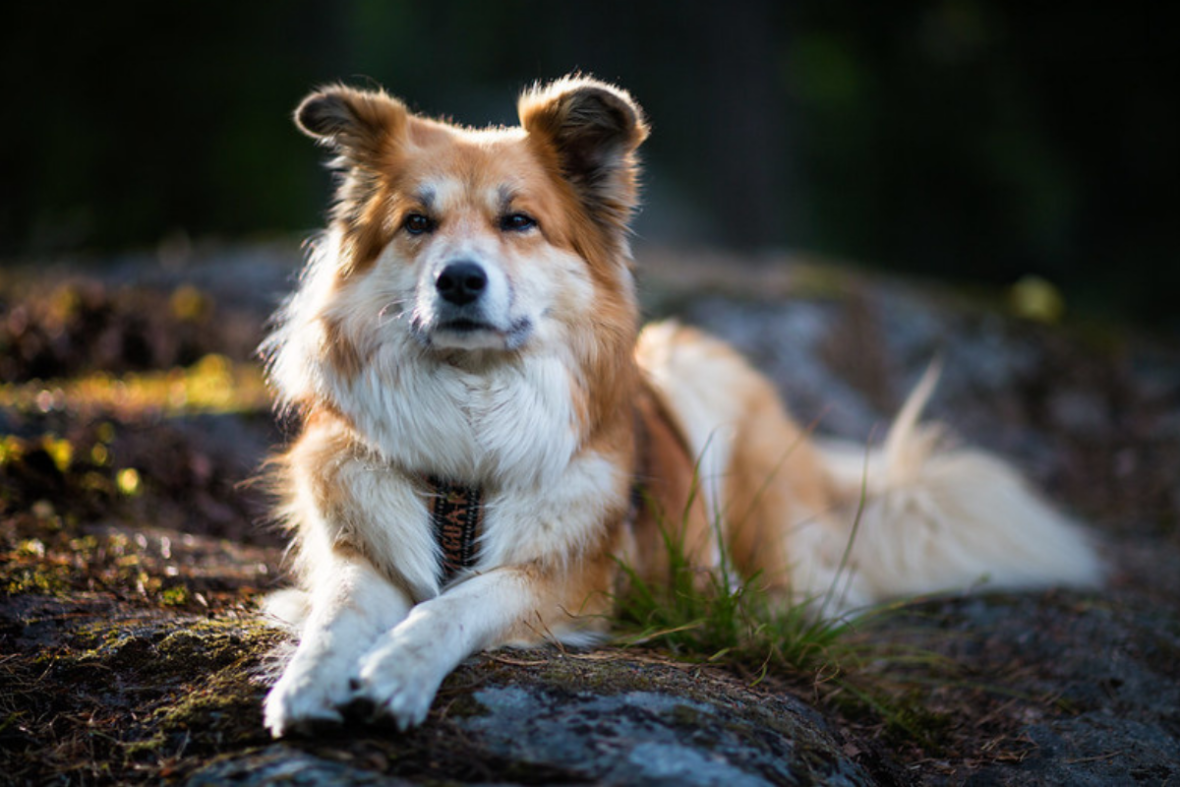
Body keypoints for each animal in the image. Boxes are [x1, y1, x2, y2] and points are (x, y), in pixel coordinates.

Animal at [260, 75, 1104, 740]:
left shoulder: (568, 578)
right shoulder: (357, 547)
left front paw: (396, 667)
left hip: (708, 396)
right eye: (416, 223)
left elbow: (453, 604)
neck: (469, 424)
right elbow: (337, 611)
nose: (459, 280)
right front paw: (308, 679)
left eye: (519, 220)